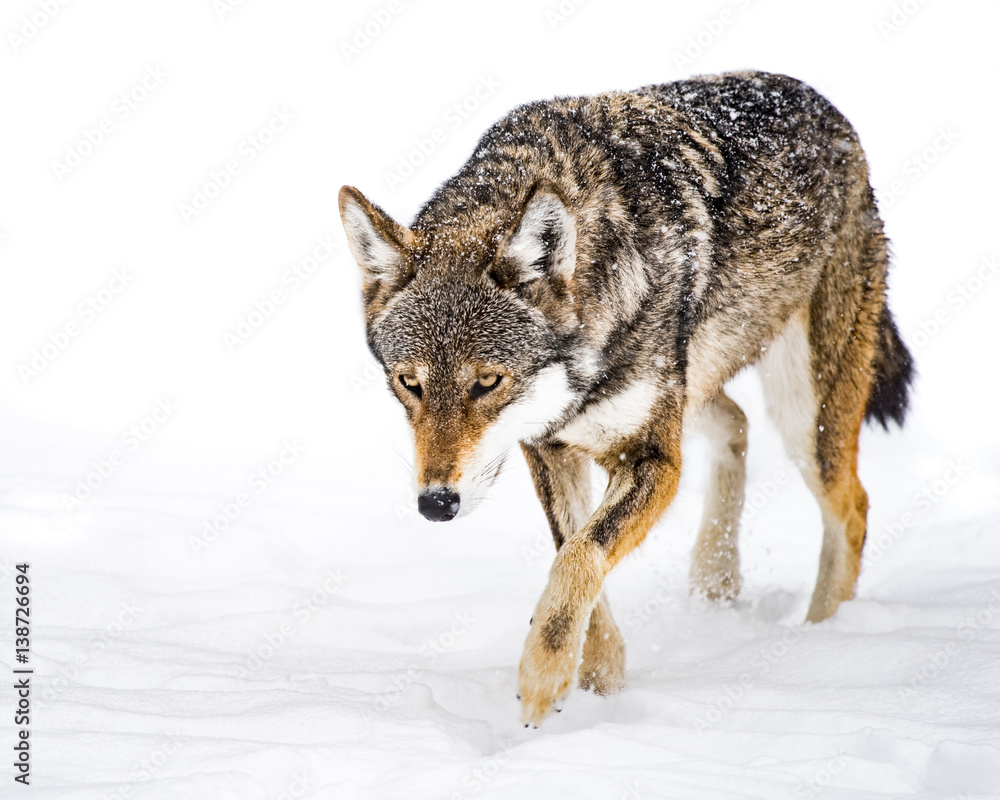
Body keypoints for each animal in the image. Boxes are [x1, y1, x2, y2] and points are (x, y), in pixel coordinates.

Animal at [338, 71, 914, 727]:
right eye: (409, 383)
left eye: (487, 382)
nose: (436, 505)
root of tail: (830, 110)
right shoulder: (552, 448)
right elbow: (574, 557)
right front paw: (599, 682)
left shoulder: (651, 458)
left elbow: (580, 559)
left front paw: (542, 679)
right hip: (698, 389)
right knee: (737, 424)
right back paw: (715, 577)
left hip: (802, 421)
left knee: (853, 508)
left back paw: (823, 638)